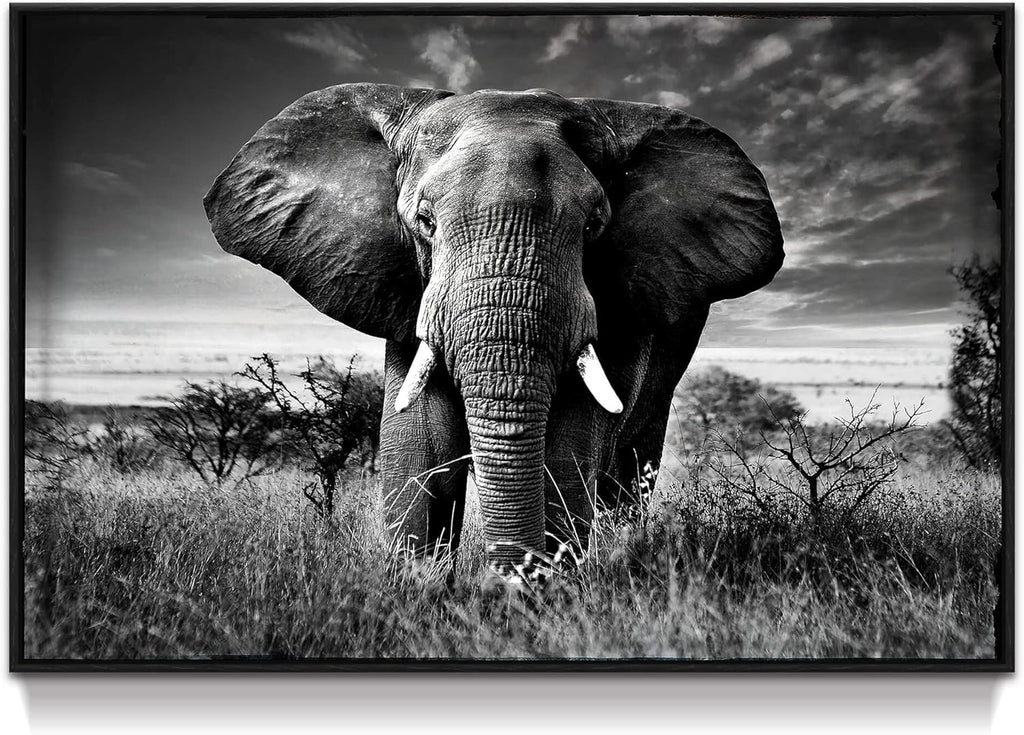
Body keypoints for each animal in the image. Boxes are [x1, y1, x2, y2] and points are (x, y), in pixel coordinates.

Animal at [204, 83, 783, 580]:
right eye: (425, 223)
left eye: (594, 225)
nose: (502, 582)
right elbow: (421, 441)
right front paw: (420, 592)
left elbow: (571, 442)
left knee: (631, 462)